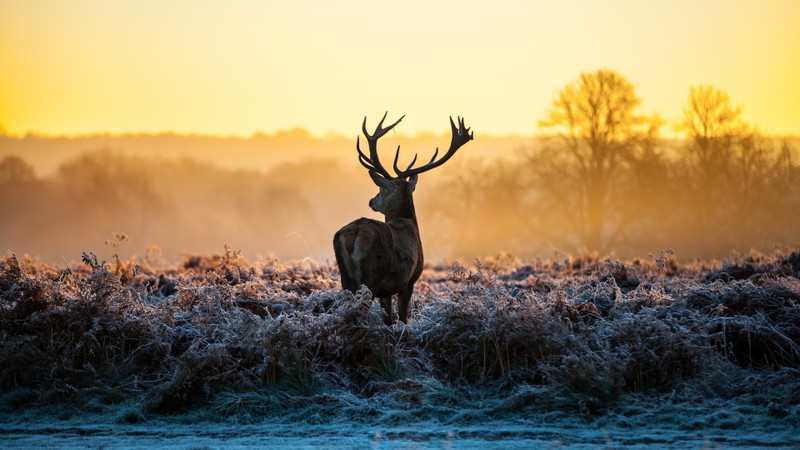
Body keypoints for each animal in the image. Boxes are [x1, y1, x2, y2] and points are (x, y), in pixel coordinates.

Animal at [332, 112, 472, 324]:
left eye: (381, 189)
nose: (371, 201)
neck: (408, 222)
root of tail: (352, 234)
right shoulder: (409, 281)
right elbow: (402, 318)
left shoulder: (387, 290)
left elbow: (389, 319)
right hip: (371, 275)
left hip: (345, 278)